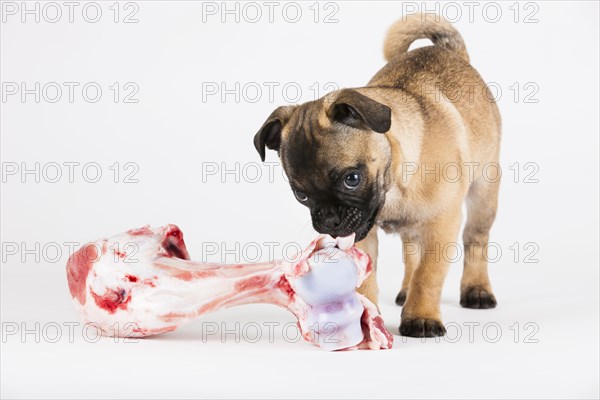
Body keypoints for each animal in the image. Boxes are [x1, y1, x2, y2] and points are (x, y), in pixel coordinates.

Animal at [253, 14, 502, 336]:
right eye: (301, 195)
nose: (328, 218)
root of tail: (451, 51)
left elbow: (428, 274)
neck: (393, 186)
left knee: (475, 238)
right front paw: (365, 319)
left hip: (484, 192)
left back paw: (476, 290)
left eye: (352, 179)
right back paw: (406, 290)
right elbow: (367, 281)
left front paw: (421, 317)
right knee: (411, 250)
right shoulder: (362, 236)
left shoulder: (442, 225)